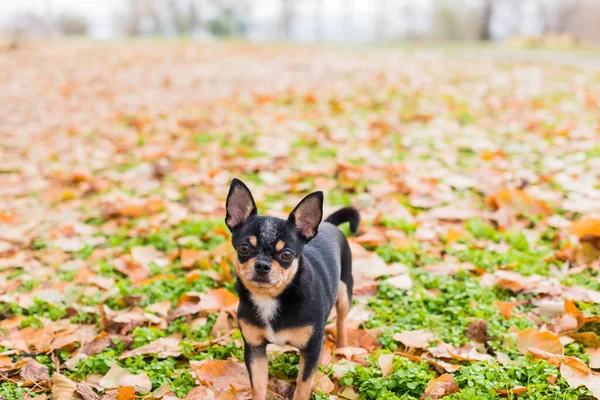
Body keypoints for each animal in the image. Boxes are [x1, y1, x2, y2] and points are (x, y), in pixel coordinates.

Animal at [224, 179, 356, 400]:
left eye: (287, 254)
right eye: (244, 248)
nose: (262, 265)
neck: (270, 298)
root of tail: (328, 223)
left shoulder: (312, 350)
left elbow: (303, 385)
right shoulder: (255, 349)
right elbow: (258, 386)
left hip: (345, 292)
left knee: (341, 320)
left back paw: (342, 347)